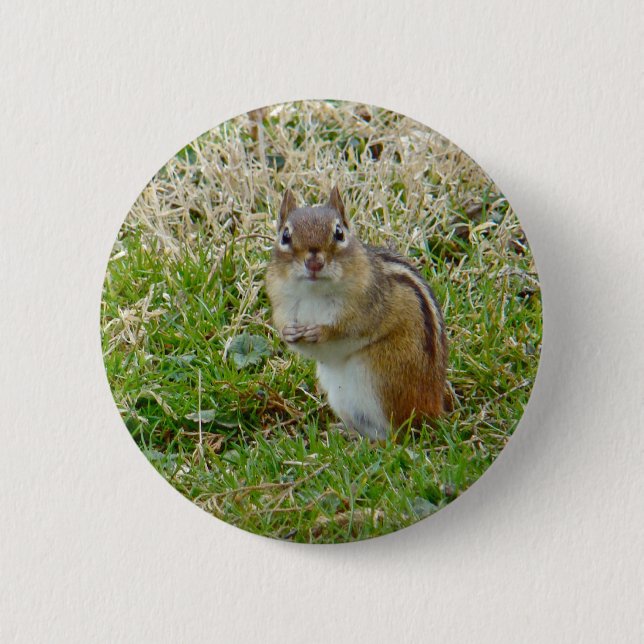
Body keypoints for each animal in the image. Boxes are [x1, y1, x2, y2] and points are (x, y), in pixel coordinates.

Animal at [265, 187, 449, 440]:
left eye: (339, 233)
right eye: (285, 236)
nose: (314, 262)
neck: (314, 293)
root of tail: (433, 408)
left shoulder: (368, 305)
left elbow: (349, 328)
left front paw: (321, 332)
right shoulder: (282, 303)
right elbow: (288, 333)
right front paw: (289, 332)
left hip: (382, 376)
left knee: (395, 436)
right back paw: (345, 433)